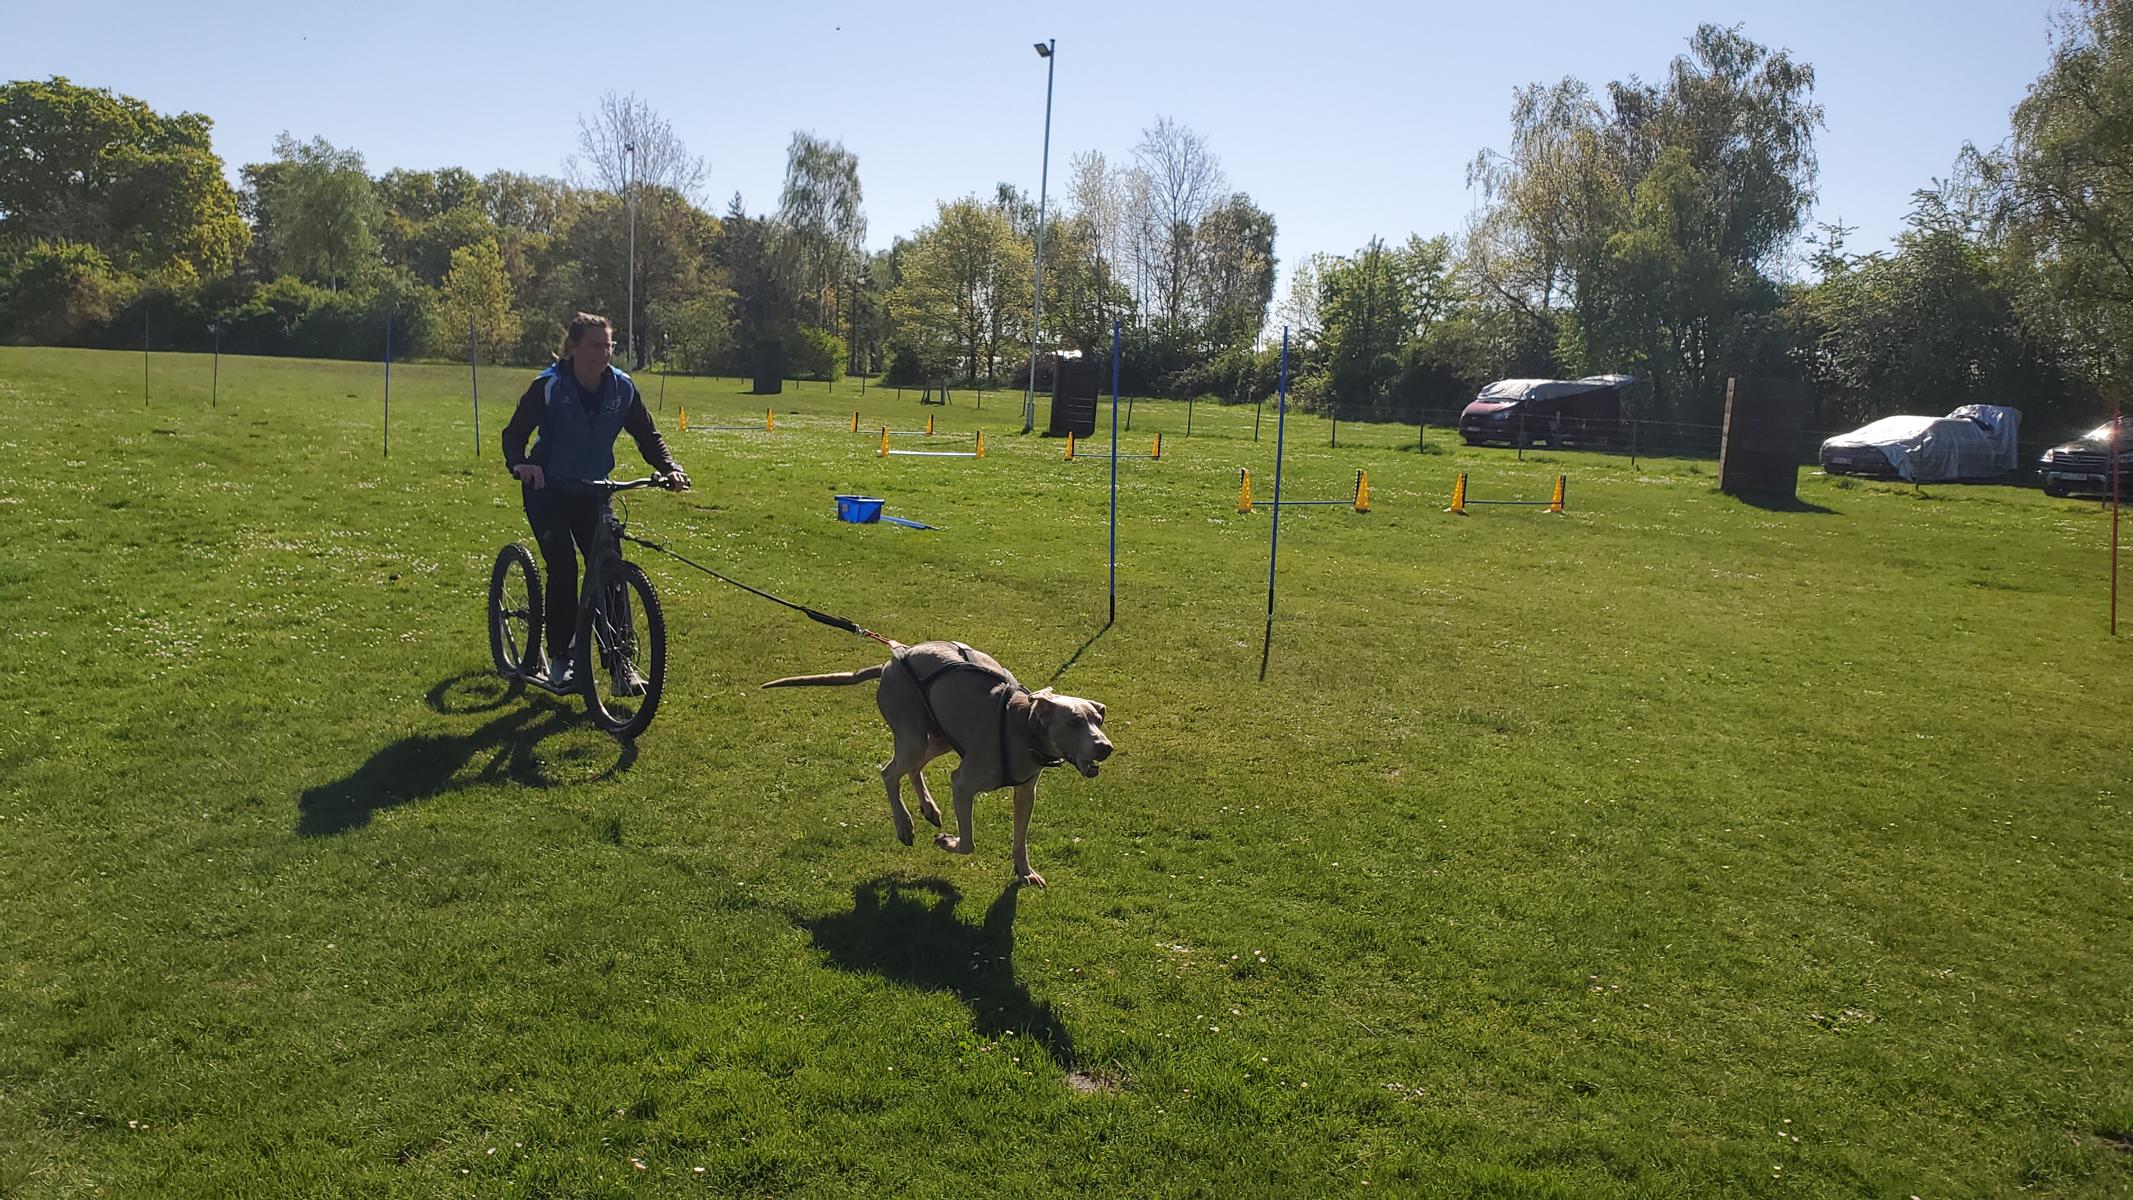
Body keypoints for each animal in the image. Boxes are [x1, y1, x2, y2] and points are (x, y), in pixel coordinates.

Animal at [763, 641, 1112, 887]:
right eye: (1073, 722)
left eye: (1098, 719)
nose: (1106, 748)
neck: (1021, 724)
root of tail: (889, 662)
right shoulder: (963, 784)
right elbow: (968, 842)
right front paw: (948, 841)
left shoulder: (1026, 793)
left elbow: (1020, 840)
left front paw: (1025, 872)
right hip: (912, 733)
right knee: (889, 773)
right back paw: (904, 824)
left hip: (940, 736)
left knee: (912, 768)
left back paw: (928, 808)